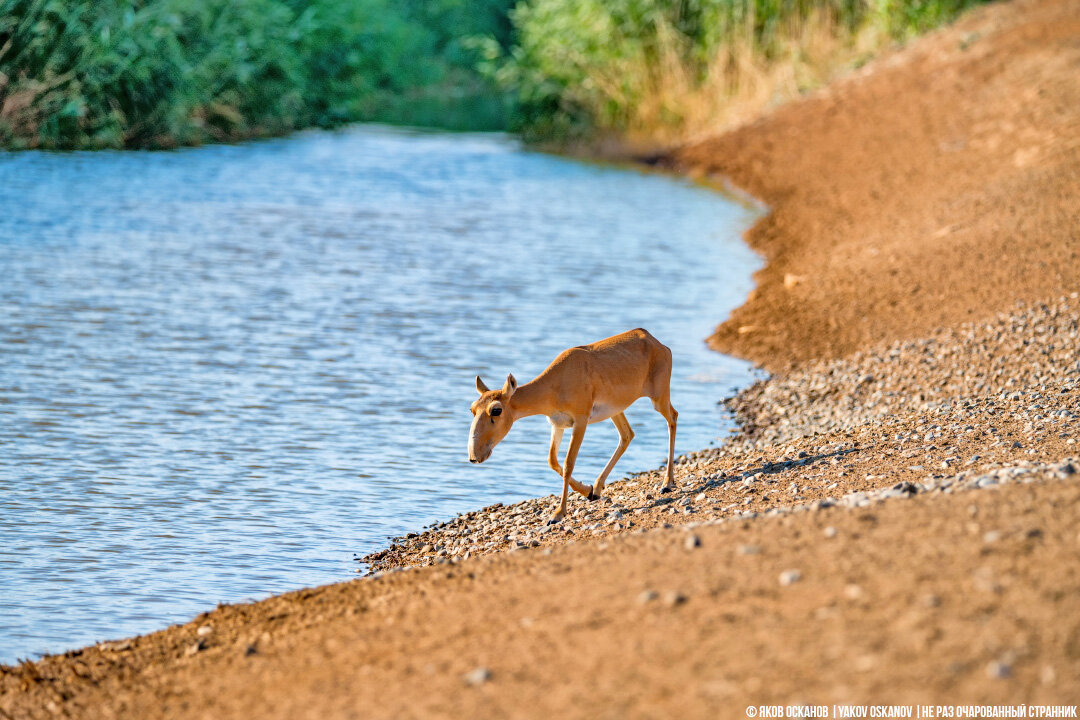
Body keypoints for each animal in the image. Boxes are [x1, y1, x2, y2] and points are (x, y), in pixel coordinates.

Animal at [468, 328, 678, 524]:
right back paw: (598, 488)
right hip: (616, 411)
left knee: (673, 418)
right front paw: (588, 491)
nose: (474, 456)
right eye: (472, 408)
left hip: (658, 398)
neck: (555, 383)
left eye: (496, 410)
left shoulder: (580, 421)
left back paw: (667, 484)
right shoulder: (557, 424)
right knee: (627, 435)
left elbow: (569, 462)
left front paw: (558, 514)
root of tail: (659, 344)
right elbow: (552, 460)